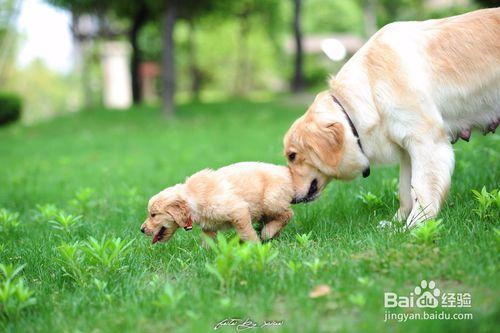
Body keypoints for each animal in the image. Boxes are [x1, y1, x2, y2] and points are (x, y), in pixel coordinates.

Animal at [139, 161, 294, 243]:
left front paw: (254, 247)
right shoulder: (209, 227)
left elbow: (246, 233)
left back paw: (268, 232)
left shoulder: (238, 210)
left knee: (287, 214)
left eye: (153, 215)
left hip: (271, 201)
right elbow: (207, 243)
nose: (141, 230)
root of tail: (285, 170)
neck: (193, 197)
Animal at [286, 7, 500, 227]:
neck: (371, 87)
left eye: (292, 156)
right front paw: (396, 224)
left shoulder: (427, 143)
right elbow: (406, 191)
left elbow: (421, 188)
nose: (290, 199)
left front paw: (415, 225)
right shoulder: (407, 151)